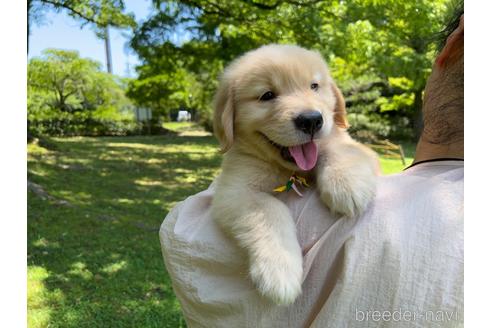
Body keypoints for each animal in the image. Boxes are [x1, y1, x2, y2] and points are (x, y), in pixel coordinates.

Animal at [210, 43, 376, 304]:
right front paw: (280, 272)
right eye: (267, 95)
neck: (290, 169)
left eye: (314, 86)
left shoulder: (357, 147)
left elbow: (336, 146)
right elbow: (270, 209)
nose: (311, 120)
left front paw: (347, 185)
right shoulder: (233, 190)